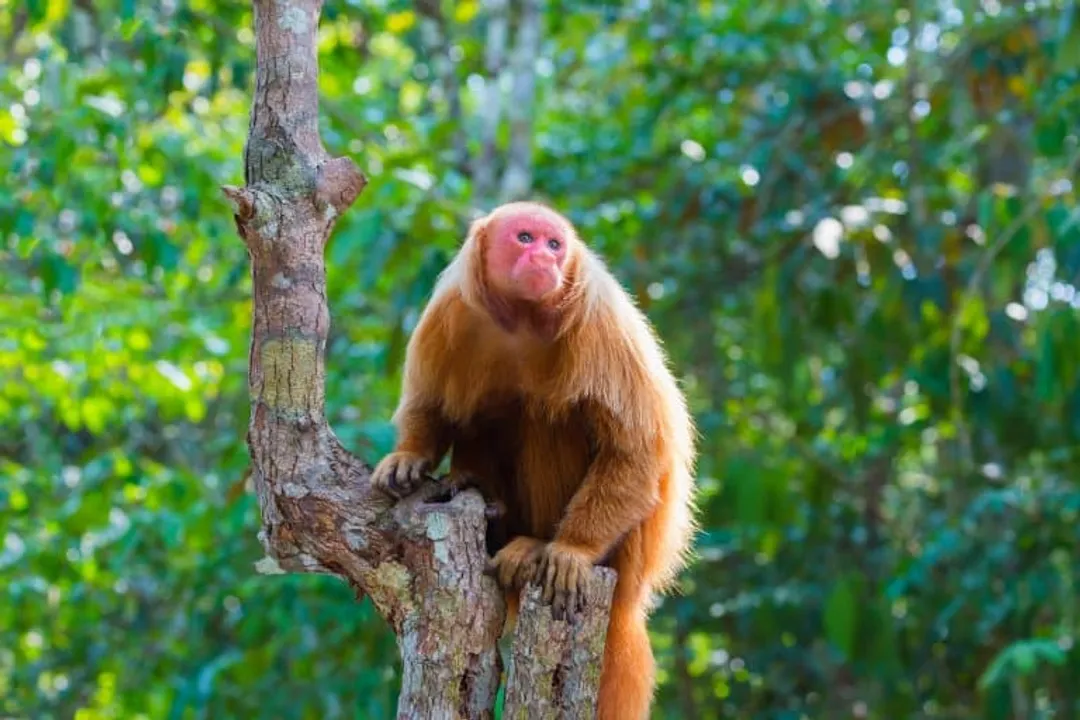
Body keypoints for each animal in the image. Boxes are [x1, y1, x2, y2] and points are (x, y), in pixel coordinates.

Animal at [370, 201, 697, 720]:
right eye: (525, 238)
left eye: (555, 244)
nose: (544, 258)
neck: (522, 320)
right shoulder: (449, 309)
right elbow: (433, 404)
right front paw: (410, 455)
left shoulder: (599, 316)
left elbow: (635, 452)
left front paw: (572, 549)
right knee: (489, 413)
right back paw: (480, 496)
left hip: (626, 554)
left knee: (548, 416)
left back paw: (535, 546)